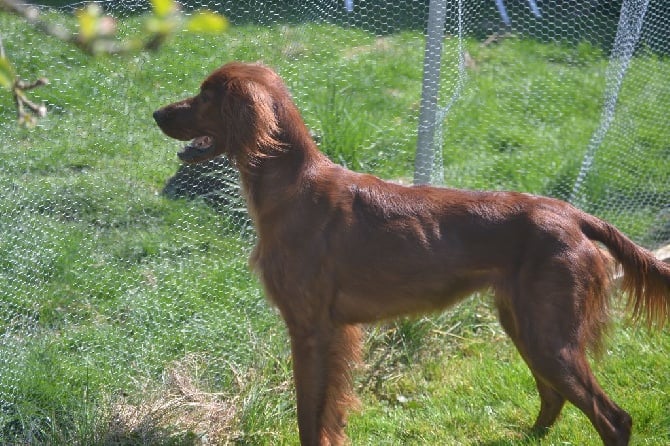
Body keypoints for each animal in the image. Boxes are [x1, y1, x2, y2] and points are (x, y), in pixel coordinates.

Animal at [155, 61, 668, 444]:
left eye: (205, 95)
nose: (157, 114)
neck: (291, 185)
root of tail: (573, 214)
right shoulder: (334, 332)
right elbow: (328, 414)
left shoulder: (310, 328)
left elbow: (308, 416)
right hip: (524, 323)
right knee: (554, 397)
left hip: (549, 334)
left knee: (613, 419)